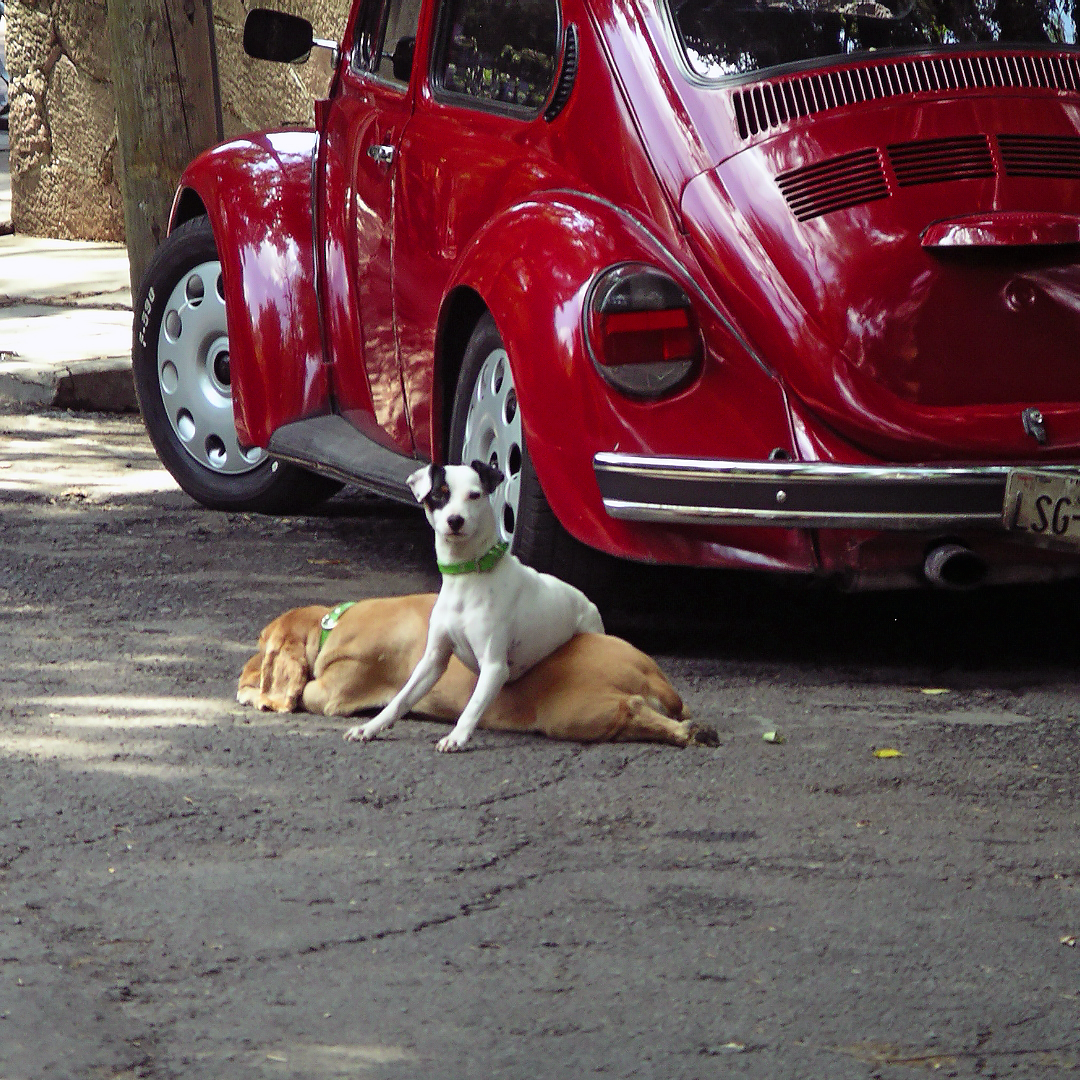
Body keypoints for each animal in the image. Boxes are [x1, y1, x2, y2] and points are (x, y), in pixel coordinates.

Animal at [236, 596, 717, 747]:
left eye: (261, 646)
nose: (240, 675)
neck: (329, 625)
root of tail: (651, 677)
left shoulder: (336, 691)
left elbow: (310, 692)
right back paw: (696, 729)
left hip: (578, 714)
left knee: (632, 710)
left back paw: (686, 733)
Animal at [343, 457, 604, 751]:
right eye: (439, 494)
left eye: (474, 495)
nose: (455, 520)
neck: (467, 578)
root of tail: (587, 601)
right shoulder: (433, 660)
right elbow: (402, 698)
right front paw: (370, 727)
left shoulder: (494, 666)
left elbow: (474, 705)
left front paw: (456, 736)